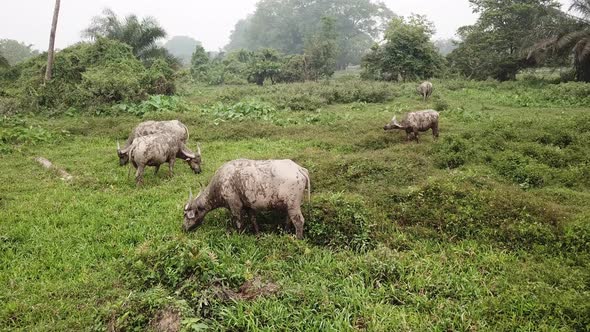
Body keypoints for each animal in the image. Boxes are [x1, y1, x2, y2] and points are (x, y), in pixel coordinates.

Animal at [183, 158, 312, 239]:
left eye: (186, 215)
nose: (183, 228)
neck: (221, 182)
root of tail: (299, 169)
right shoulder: (248, 206)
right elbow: (253, 219)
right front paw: (257, 234)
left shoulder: (235, 206)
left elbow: (239, 222)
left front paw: (240, 236)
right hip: (289, 205)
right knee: (288, 219)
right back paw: (285, 232)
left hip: (293, 204)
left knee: (299, 221)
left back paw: (298, 239)